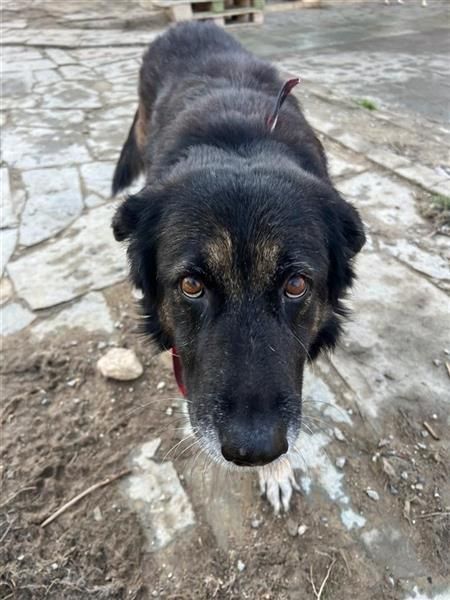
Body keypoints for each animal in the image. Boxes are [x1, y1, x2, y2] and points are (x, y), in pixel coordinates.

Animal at [112, 22, 365, 512]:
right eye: (191, 285)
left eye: (296, 285)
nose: (255, 452)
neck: (239, 144)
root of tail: (185, 23)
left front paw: (276, 470)